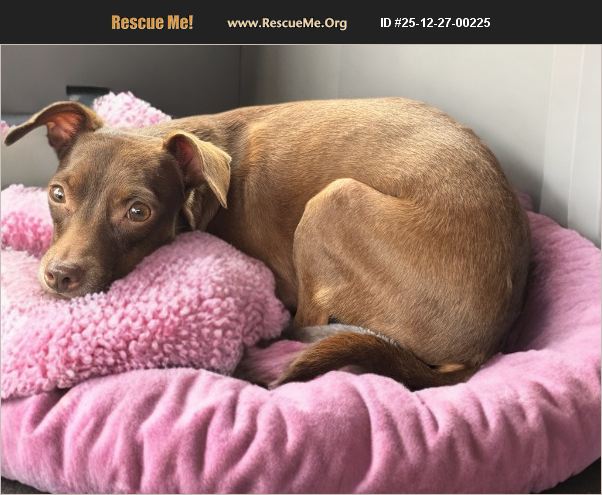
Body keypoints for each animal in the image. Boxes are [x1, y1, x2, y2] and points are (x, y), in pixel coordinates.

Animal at [4, 97, 531, 389]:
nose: (59, 276)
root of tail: (483, 348)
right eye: (57, 194)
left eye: (138, 212)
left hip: (332, 204)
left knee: (302, 324)